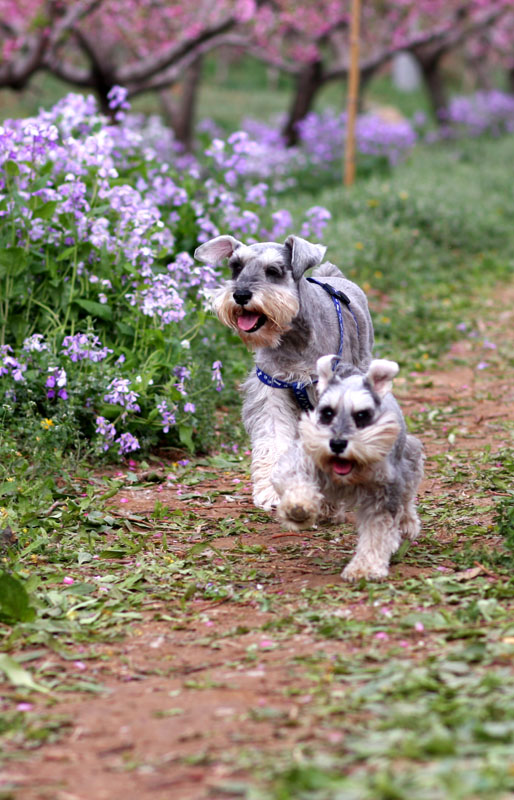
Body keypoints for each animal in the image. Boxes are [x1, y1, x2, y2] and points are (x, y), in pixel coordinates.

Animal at [194, 234, 370, 510]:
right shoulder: (272, 392)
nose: (240, 294)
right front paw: (274, 491)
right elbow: (274, 441)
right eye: (236, 267)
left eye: (273, 270)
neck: (292, 339)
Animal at [270, 358, 422, 580]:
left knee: (408, 497)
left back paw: (408, 523)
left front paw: (365, 567)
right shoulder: (300, 459)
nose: (337, 443)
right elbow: (295, 479)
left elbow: (378, 532)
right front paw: (298, 507)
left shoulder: (384, 491)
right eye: (327, 413)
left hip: (410, 457)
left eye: (361, 415)